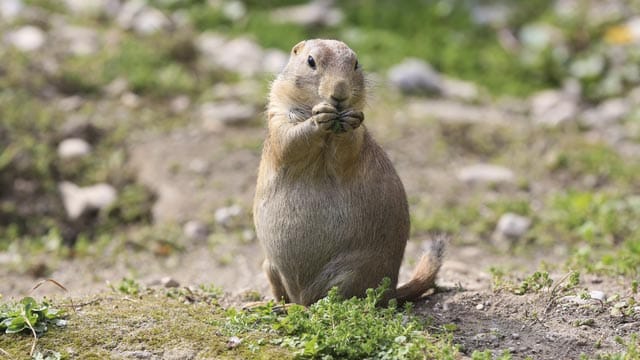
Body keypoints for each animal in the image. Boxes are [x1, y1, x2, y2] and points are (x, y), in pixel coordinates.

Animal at [252, 39, 442, 306]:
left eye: (356, 63)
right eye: (311, 61)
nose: (340, 93)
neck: (330, 131)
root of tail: (391, 291)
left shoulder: (357, 137)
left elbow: (347, 149)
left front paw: (347, 120)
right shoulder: (278, 114)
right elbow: (289, 140)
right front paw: (318, 118)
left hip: (352, 273)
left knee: (331, 302)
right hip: (269, 266)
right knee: (287, 297)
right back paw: (265, 304)